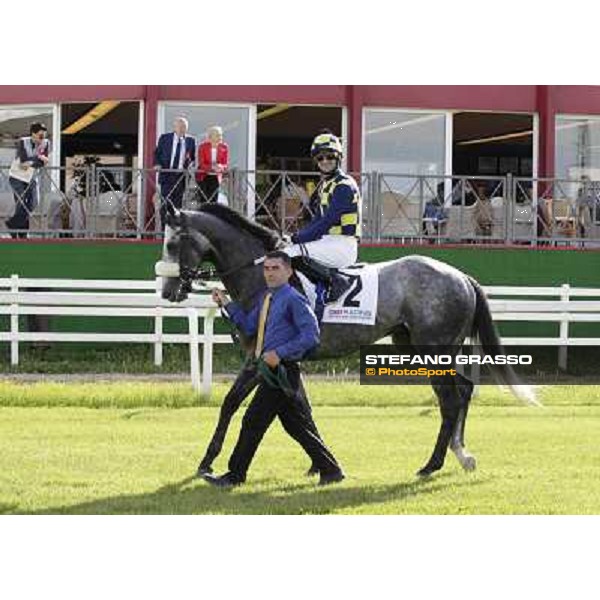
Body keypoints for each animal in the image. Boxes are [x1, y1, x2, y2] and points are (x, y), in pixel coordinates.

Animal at [157, 205, 536, 478]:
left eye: (172, 244)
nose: (168, 291)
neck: (260, 276)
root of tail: (461, 277)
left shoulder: (259, 357)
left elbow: (230, 403)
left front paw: (207, 460)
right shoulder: (285, 361)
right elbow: (301, 408)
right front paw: (318, 462)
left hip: (433, 349)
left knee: (450, 400)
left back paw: (434, 463)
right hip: (415, 346)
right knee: (464, 390)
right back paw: (461, 453)